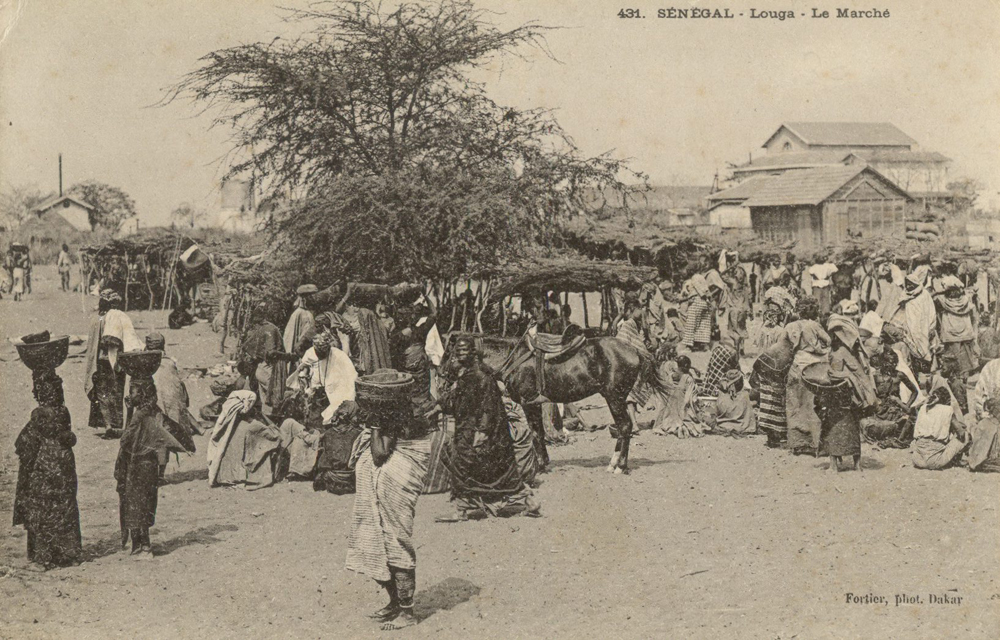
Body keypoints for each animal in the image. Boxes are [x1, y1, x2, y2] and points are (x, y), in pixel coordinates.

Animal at [442, 332, 652, 472]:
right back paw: (615, 463)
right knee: (623, 427)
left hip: (614, 397)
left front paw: (540, 465)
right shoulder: (534, 404)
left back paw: (620, 465)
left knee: (624, 426)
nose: (442, 376)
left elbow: (536, 433)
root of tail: (634, 350)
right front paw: (544, 462)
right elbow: (540, 433)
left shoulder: (529, 402)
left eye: (451, 355)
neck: (514, 358)